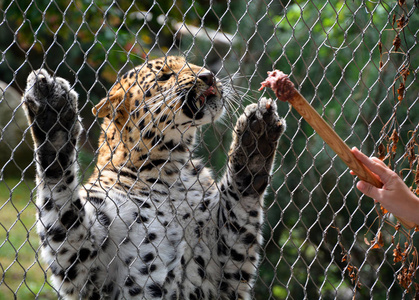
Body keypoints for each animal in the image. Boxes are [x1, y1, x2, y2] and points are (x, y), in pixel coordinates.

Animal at [22, 55, 286, 298]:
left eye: (191, 64)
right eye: (164, 76)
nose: (209, 76)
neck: (170, 169)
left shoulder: (225, 271)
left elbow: (240, 202)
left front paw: (257, 136)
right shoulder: (84, 267)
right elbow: (59, 192)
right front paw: (52, 115)